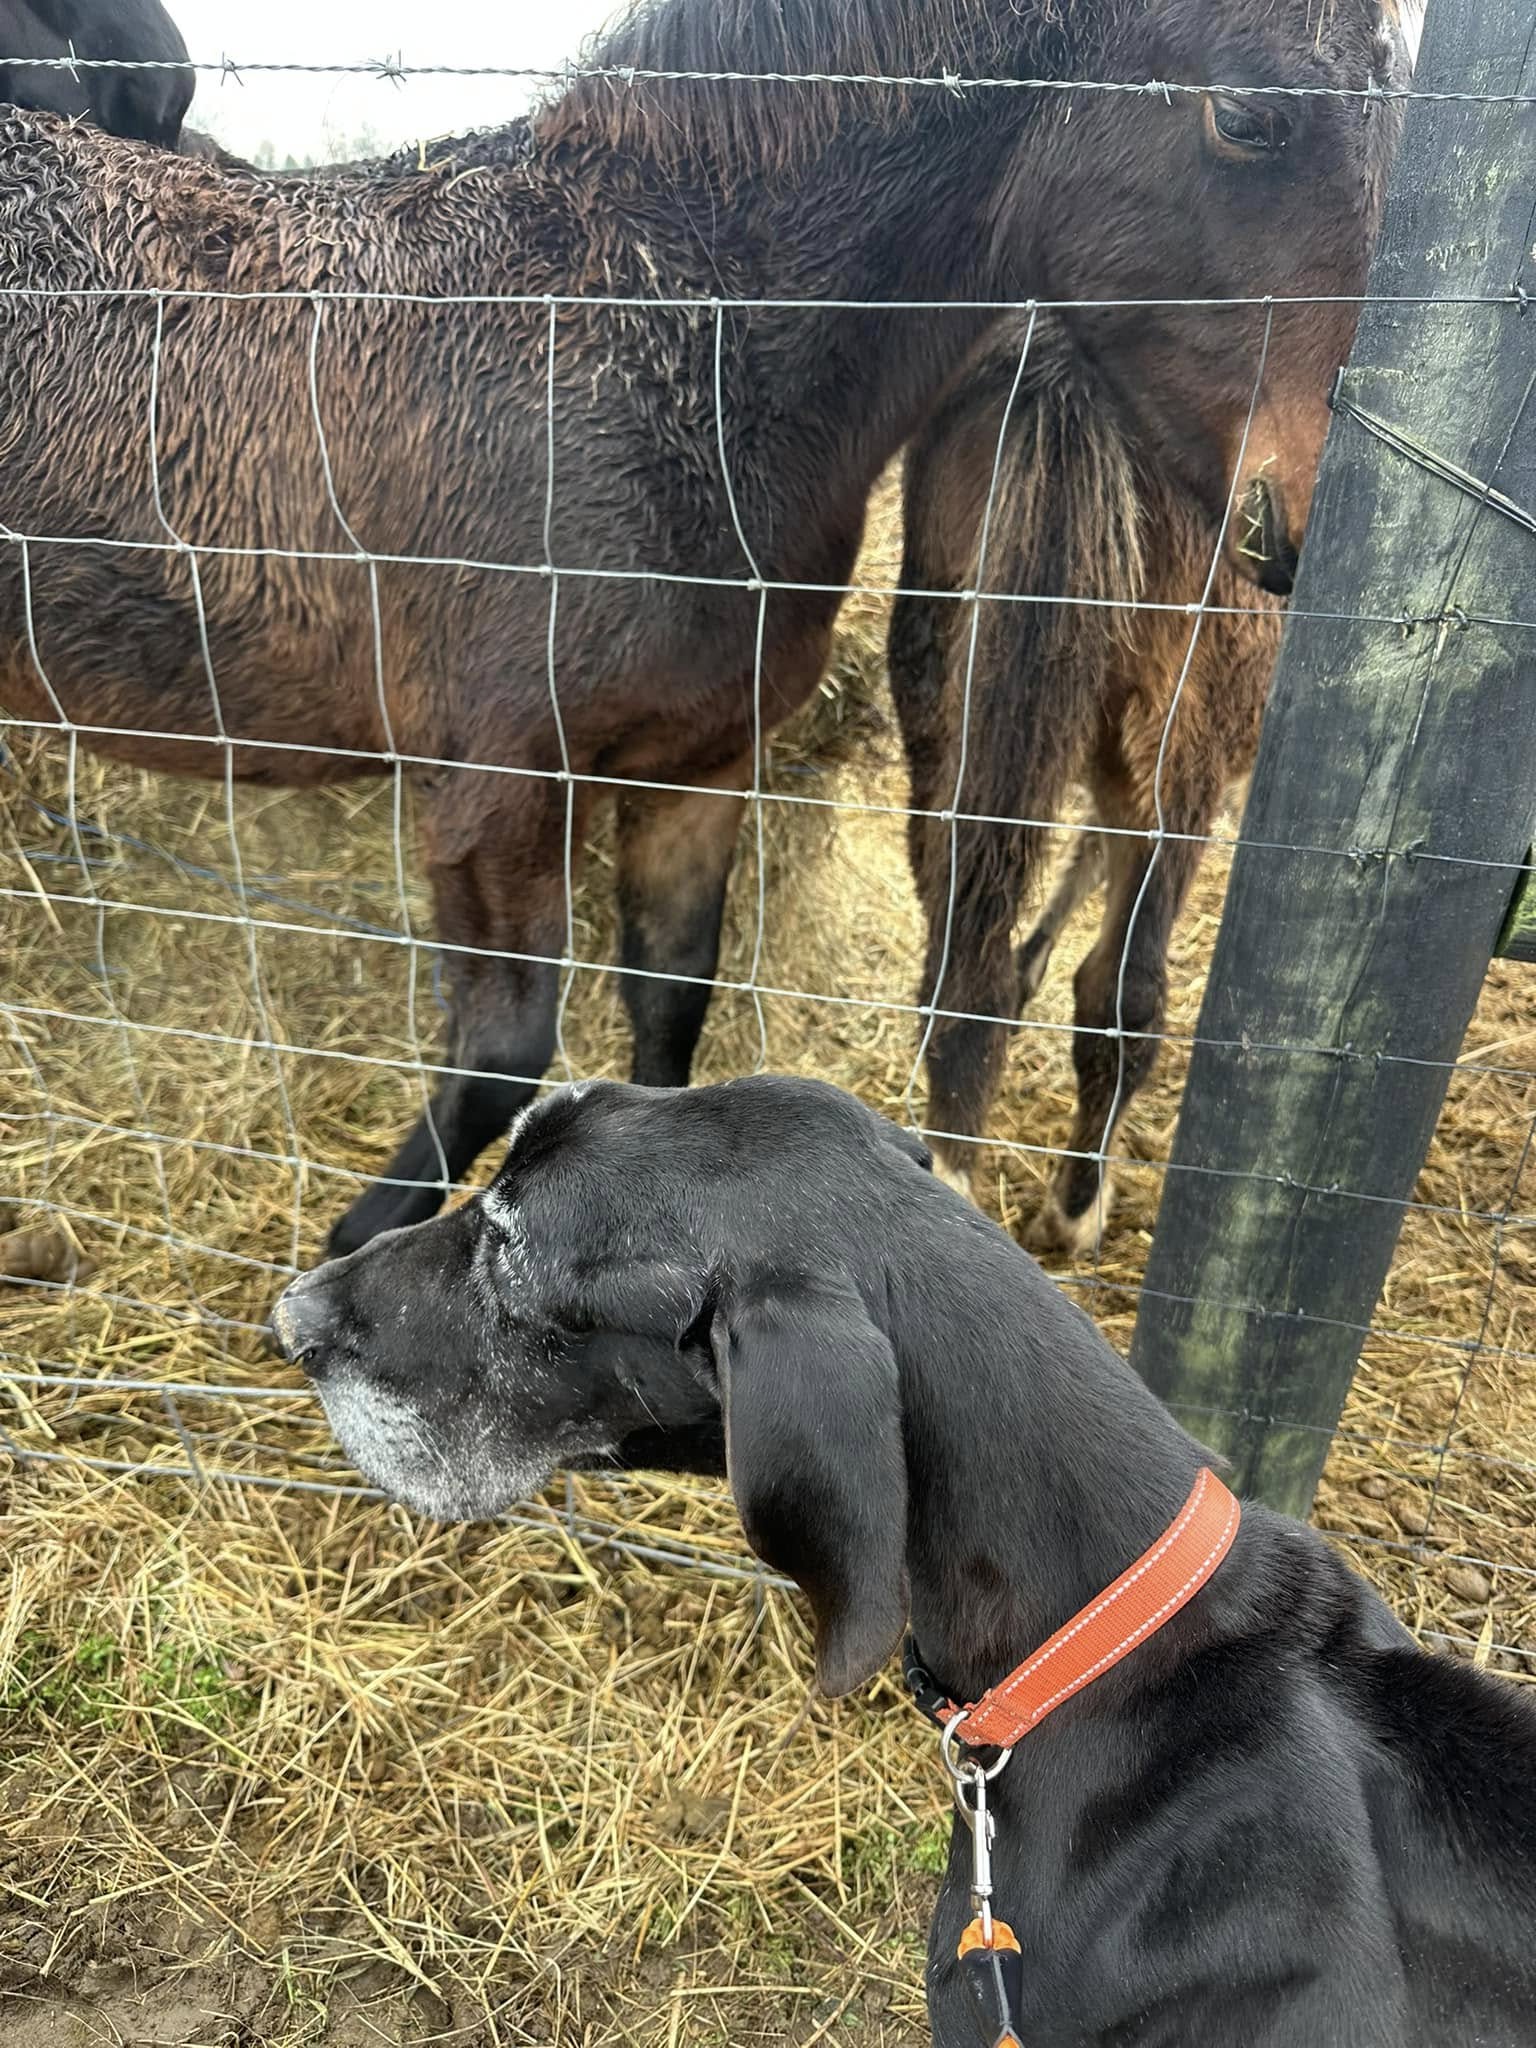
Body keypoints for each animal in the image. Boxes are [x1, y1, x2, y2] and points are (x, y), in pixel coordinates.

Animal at [888, 317, 1286, 1245]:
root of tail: (1065, 367)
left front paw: (1033, 955)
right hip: (1179, 758)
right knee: (1123, 997)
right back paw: (1075, 1208)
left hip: (938, 696)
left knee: (959, 947)